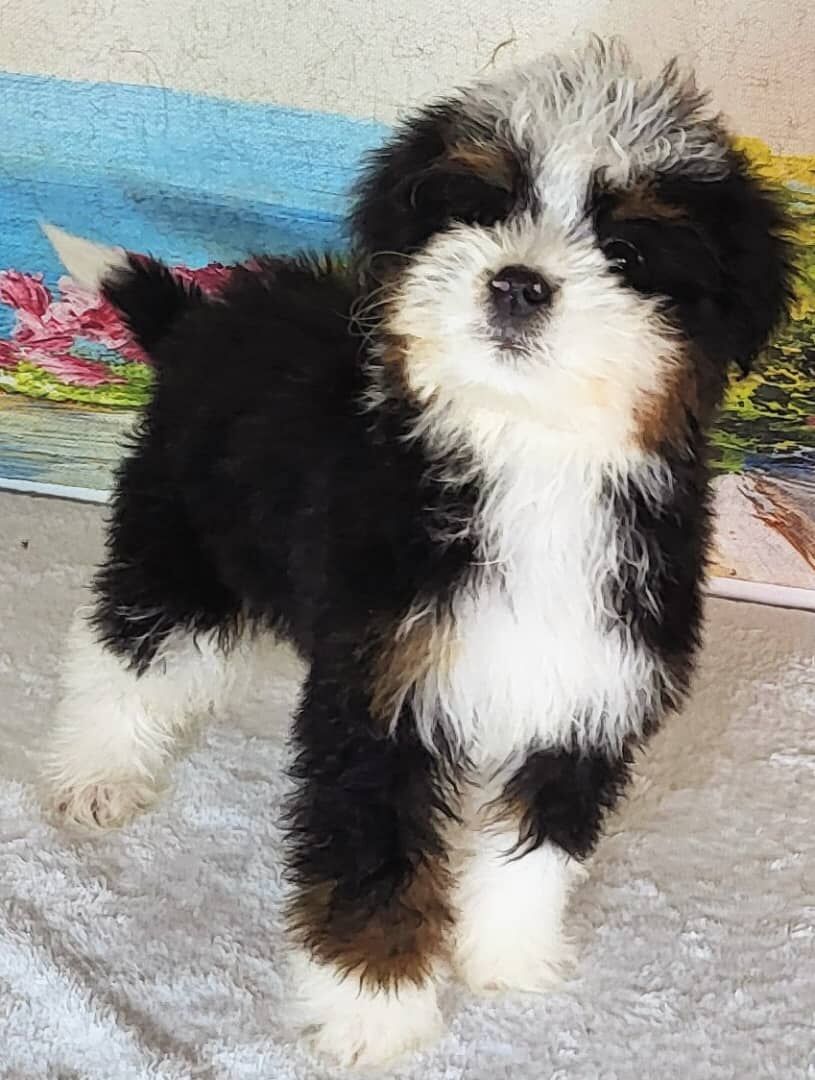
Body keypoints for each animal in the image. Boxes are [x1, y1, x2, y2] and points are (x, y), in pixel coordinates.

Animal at [43, 39, 791, 1068]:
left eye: (629, 251)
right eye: (482, 209)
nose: (516, 281)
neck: (528, 460)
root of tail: (208, 314)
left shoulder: (589, 688)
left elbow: (536, 840)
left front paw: (506, 956)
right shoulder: (382, 694)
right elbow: (376, 857)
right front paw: (374, 1007)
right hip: (180, 535)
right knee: (128, 642)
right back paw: (95, 774)